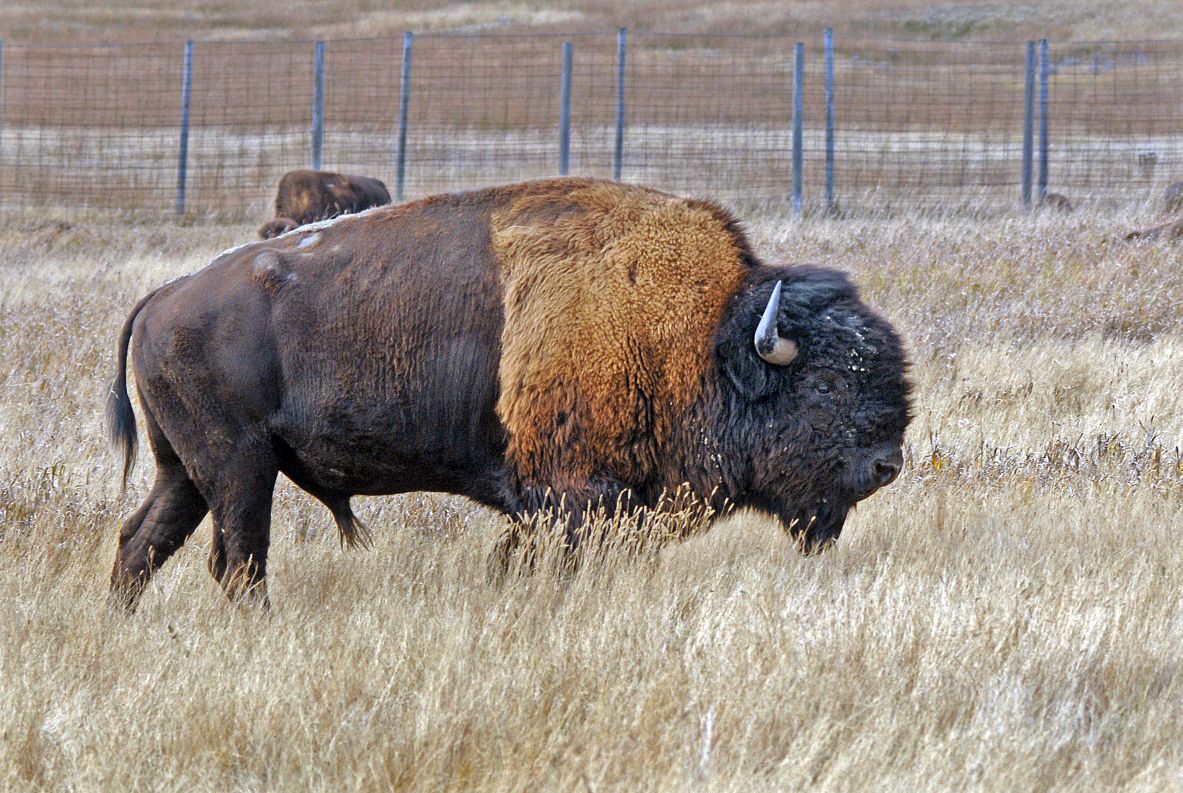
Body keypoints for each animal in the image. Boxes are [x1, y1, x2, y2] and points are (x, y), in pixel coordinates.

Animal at [107, 178, 912, 608]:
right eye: (826, 380)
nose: (886, 464)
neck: (699, 334)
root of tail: (163, 298)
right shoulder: (570, 500)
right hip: (240, 467)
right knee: (239, 558)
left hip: (186, 469)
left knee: (144, 540)